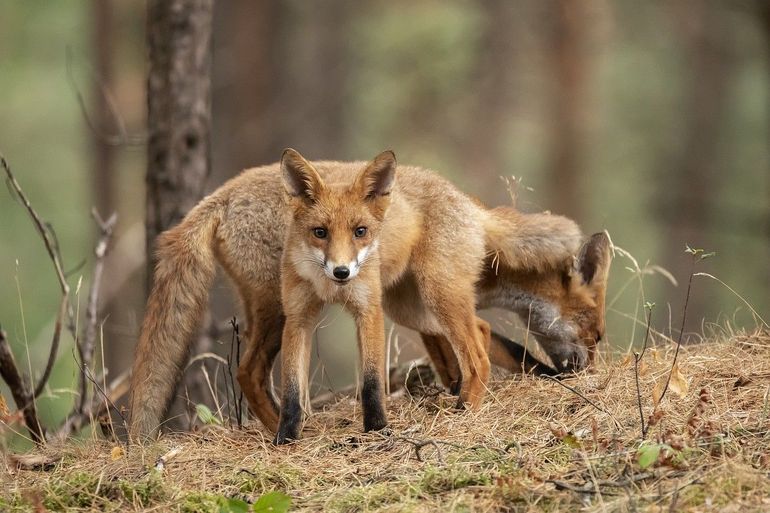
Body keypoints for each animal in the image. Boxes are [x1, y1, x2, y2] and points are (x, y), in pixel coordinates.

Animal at [129, 149, 604, 444]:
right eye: (596, 335)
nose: (588, 369)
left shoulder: (394, 306)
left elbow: (447, 357)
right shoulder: (399, 306)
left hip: (412, 298)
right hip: (295, 306)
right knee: (249, 371)